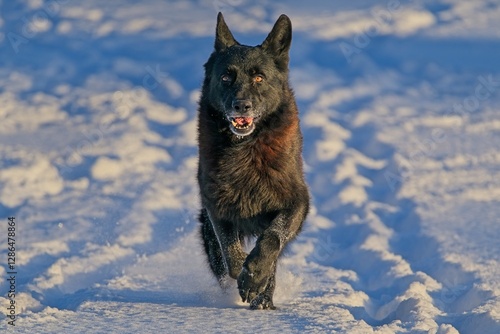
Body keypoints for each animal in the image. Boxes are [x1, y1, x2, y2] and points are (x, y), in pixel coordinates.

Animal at [196, 13, 308, 310]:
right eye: (226, 76)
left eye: (259, 77)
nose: (241, 105)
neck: (245, 148)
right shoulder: (217, 206)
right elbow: (231, 252)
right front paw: (245, 275)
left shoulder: (296, 202)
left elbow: (272, 239)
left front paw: (255, 277)